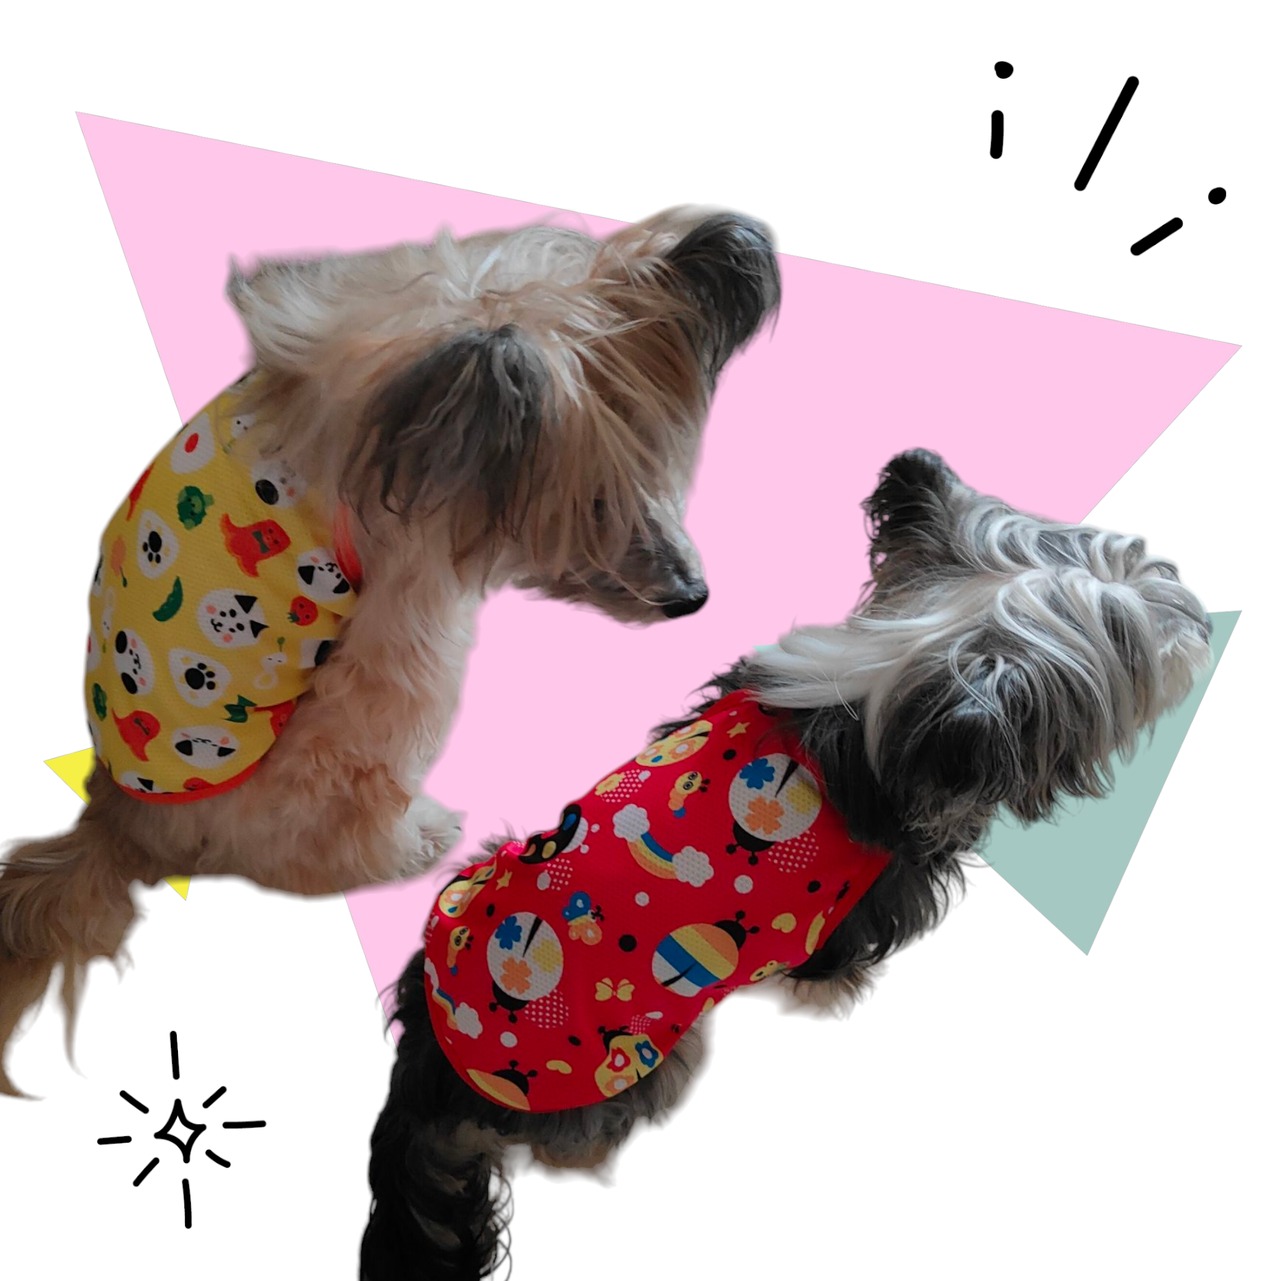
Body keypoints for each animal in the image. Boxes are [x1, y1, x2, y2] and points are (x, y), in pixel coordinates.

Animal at [0, 208, 781, 1096]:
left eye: (663, 474)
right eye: (591, 507)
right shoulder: (402, 634)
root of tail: (115, 819)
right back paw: (412, 839)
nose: (693, 598)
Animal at [360, 448, 1211, 1280]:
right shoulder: (851, 915)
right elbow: (830, 968)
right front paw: (836, 996)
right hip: (642, 1054)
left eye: (1140, 564)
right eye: (1126, 635)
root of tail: (429, 1068)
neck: (882, 703)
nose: (1200, 620)